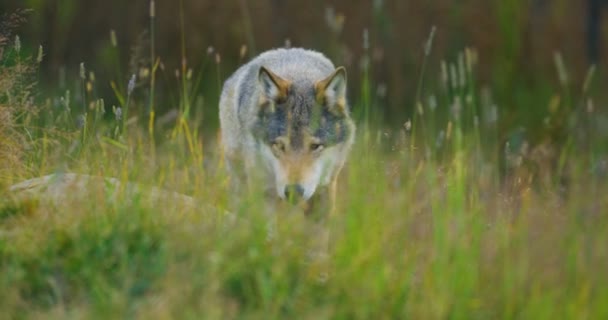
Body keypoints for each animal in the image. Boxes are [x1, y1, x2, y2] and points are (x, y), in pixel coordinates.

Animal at [221, 48, 356, 212]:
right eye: (279, 145)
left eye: (315, 146)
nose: (293, 192)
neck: (298, 74)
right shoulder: (263, 191)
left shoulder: (325, 187)